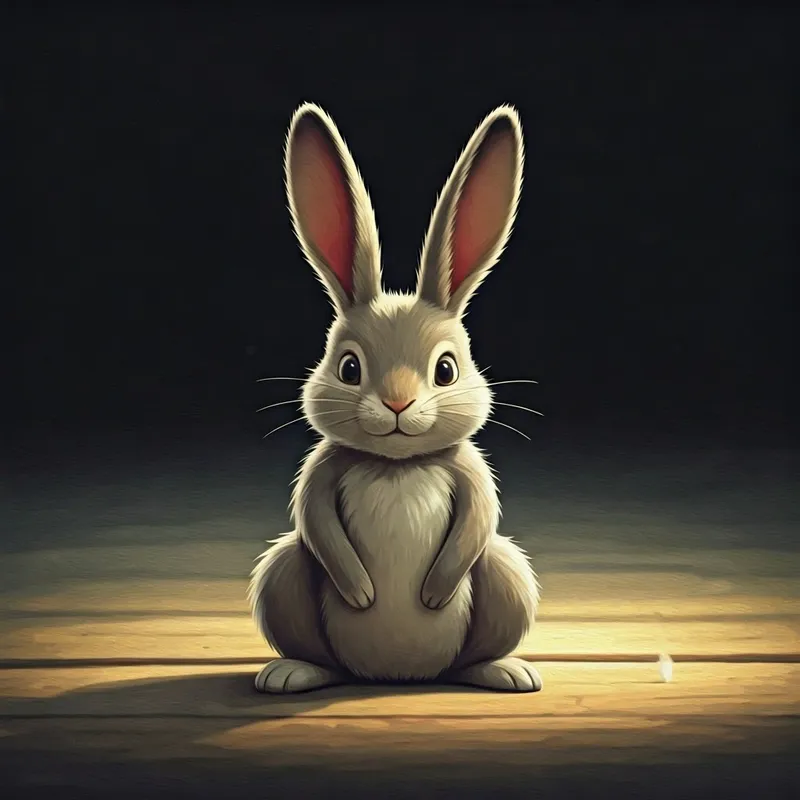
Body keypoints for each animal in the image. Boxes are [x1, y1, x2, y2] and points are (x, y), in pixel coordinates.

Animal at [248, 101, 541, 694]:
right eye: (349, 368)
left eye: (446, 370)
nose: (398, 405)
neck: (397, 465)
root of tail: (400, 674)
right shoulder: (320, 472)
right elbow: (316, 521)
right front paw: (362, 592)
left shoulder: (471, 474)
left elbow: (478, 520)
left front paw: (432, 593)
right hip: (281, 574)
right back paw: (292, 671)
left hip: (508, 576)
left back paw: (503, 670)